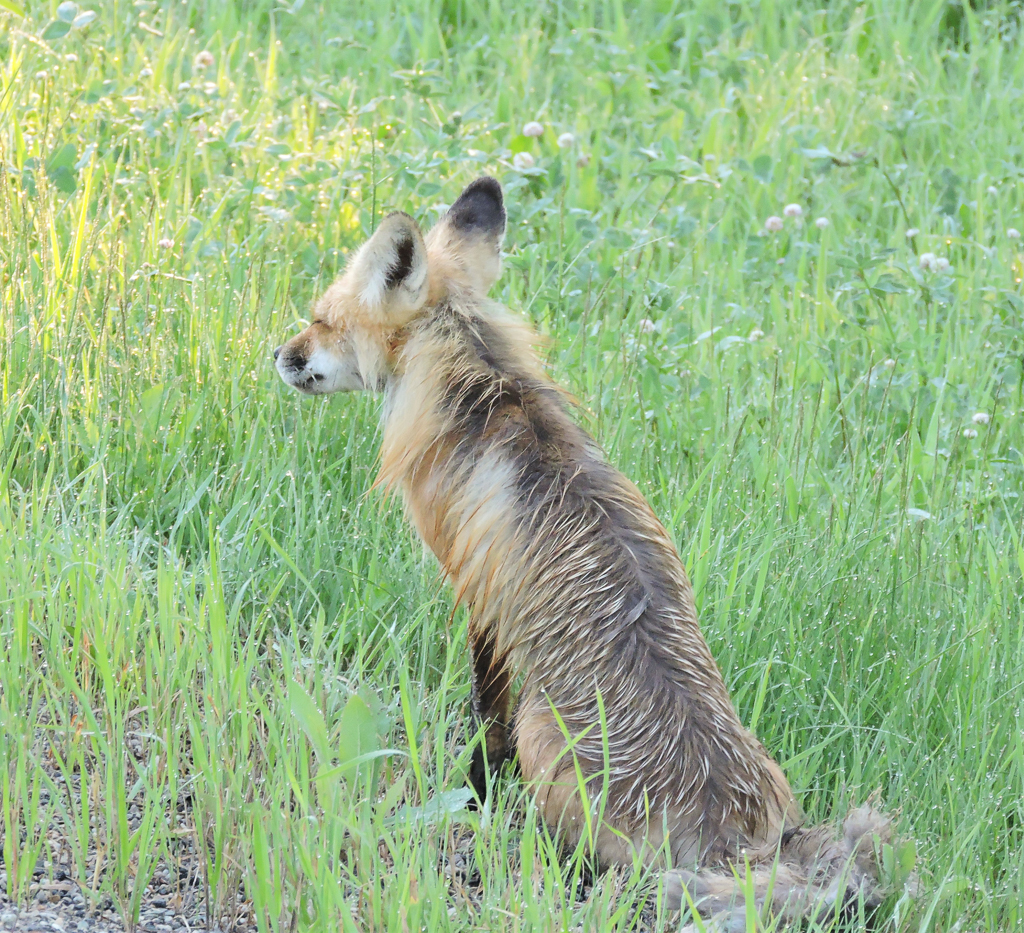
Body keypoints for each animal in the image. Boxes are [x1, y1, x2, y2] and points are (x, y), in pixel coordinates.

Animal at [274, 177, 897, 923]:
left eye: (321, 318)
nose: (279, 354)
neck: (484, 395)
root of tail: (730, 839)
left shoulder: (480, 597)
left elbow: (487, 718)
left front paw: (476, 796)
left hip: (547, 734)